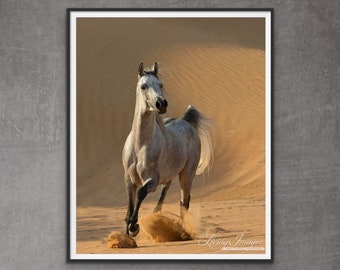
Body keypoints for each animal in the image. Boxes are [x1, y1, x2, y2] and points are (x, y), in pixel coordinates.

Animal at [122, 63, 212, 236]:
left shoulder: (152, 180)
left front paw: (134, 227)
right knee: (165, 194)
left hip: (186, 175)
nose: (161, 104)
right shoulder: (129, 179)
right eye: (143, 86)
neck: (140, 146)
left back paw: (183, 231)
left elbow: (140, 193)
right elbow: (129, 207)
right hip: (170, 175)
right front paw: (128, 231)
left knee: (184, 202)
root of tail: (186, 122)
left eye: (161, 84)